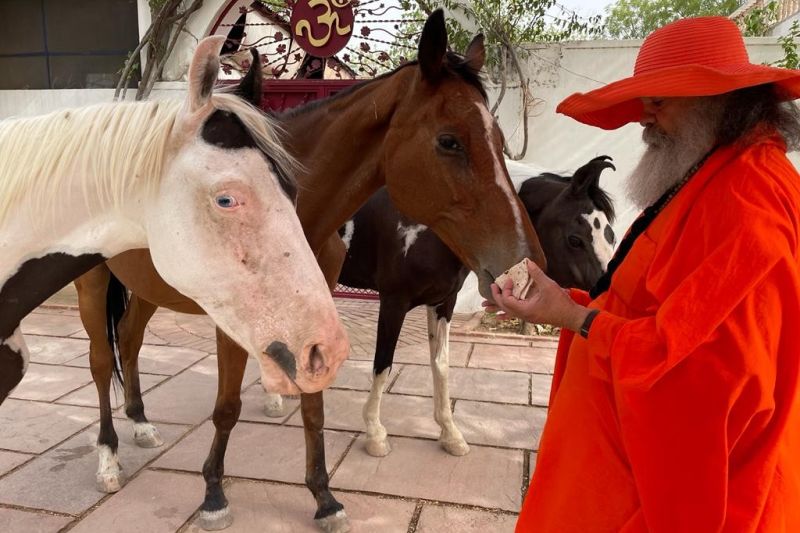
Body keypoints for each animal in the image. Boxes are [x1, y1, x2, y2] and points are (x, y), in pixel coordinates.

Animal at [72, 10, 546, 531]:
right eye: (449, 140)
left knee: (130, 340)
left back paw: (141, 425)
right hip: (90, 281)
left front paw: (324, 497)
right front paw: (214, 493)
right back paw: (108, 458)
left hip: (145, 287)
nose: (525, 268)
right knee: (101, 361)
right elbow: (227, 407)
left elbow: (314, 408)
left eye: (500, 141)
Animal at [262, 155, 618, 457]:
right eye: (575, 239)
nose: (603, 295)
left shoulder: (443, 302)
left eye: (611, 235)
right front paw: (375, 434)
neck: (435, 225)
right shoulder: (393, 301)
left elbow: (441, 365)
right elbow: (383, 364)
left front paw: (450, 434)